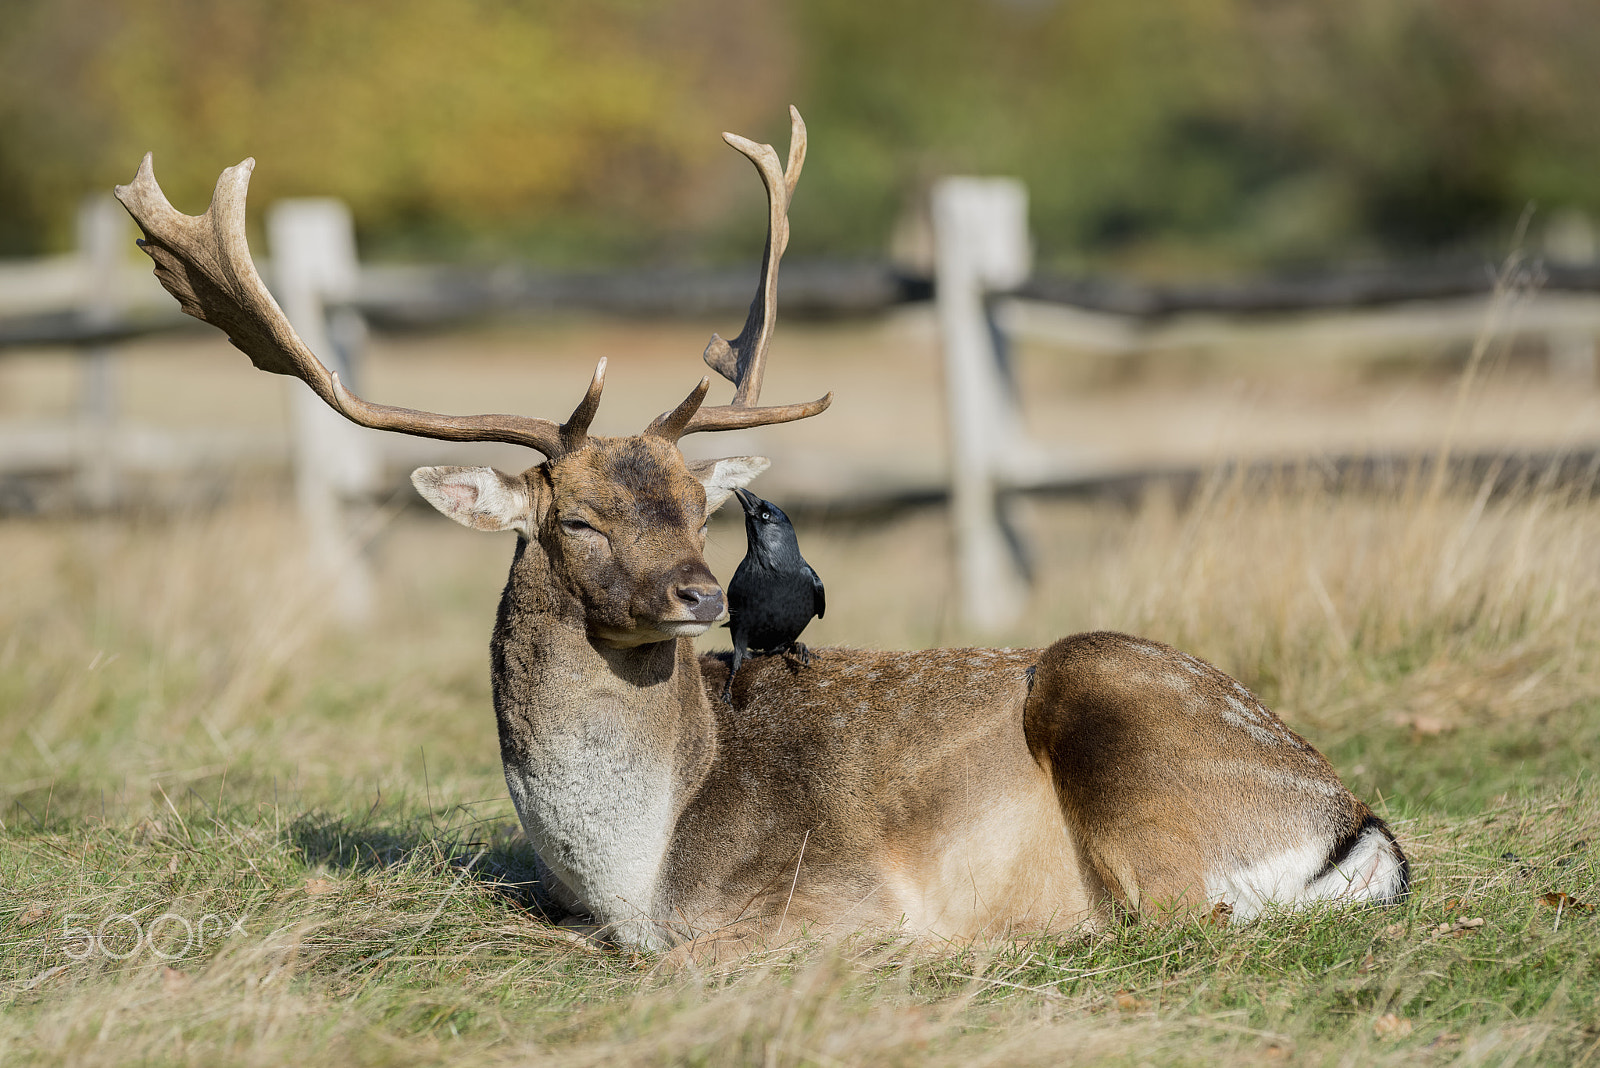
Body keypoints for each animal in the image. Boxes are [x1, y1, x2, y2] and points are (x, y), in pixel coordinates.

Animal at [114, 107, 1408, 957]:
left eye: (699, 508)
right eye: (576, 516)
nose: (698, 594)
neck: (633, 865)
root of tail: (1349, 825)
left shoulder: (813, 895)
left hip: (1124, 723)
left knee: (1180, 912)